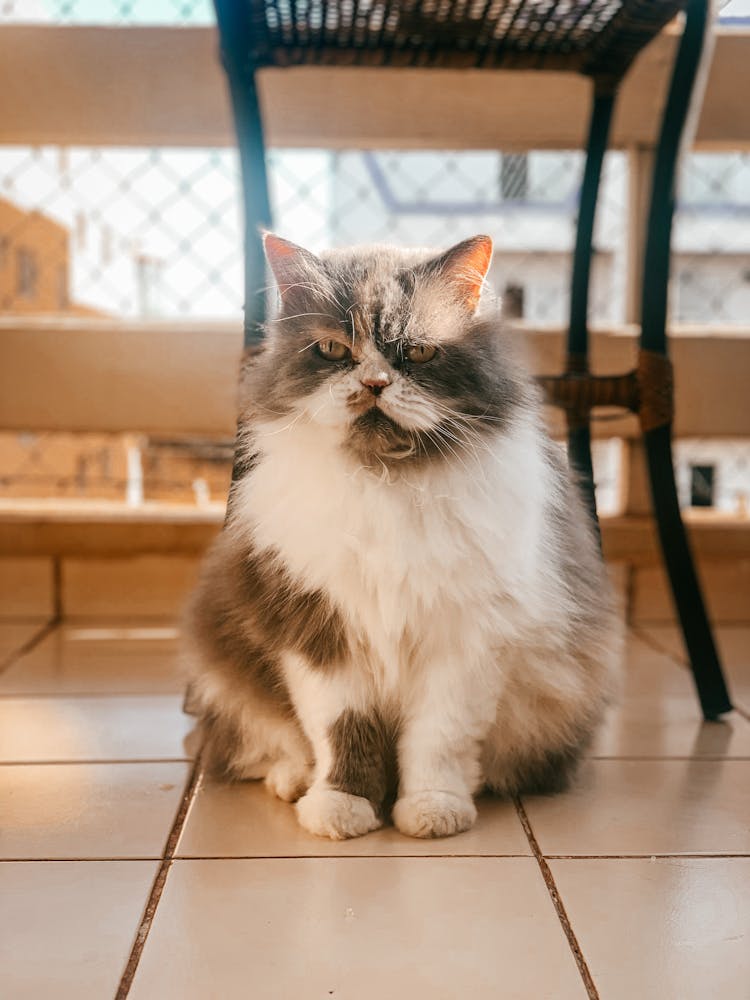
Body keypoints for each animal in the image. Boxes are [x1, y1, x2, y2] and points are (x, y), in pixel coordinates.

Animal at [184, 238, 624, 840]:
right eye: (332, 349)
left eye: (417, 354)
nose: (374, 383)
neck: (386, 483)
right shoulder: (320, 636)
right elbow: (341, 736)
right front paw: (341, 810)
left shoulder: (464, 644)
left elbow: (437, 740)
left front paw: (432, 811)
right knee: (272, 747)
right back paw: (294, 783)